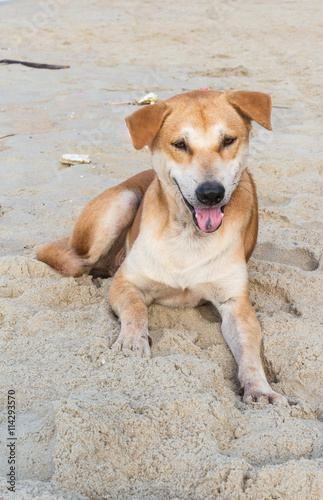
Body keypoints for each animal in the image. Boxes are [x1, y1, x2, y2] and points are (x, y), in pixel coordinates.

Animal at [37, 89, 288, 406]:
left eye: (228, 140)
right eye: (180, 144)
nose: (210, 193)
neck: (187, 235)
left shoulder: (235, 303)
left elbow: (251, 349)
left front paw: (259, 388)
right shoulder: (126, 282)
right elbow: (136, 309)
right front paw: (133, 341)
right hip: (122, 204)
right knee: (74, 260)